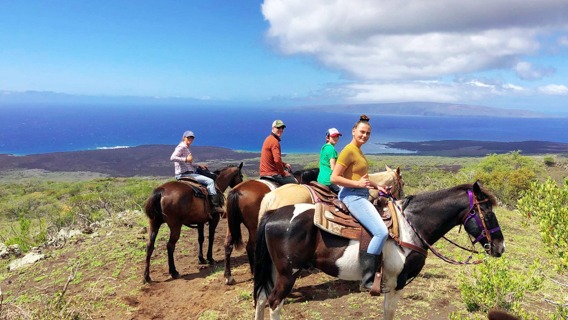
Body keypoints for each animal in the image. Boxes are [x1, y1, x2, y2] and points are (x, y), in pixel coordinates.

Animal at [255, 182, 504, 320]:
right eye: (486, 211)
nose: (500, 247)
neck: (410, 226)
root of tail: (273, 214)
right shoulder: (396, 282)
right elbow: (389, 313)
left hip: (275, 271)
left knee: (261, 299)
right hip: (288, 273)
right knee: (274, 302)